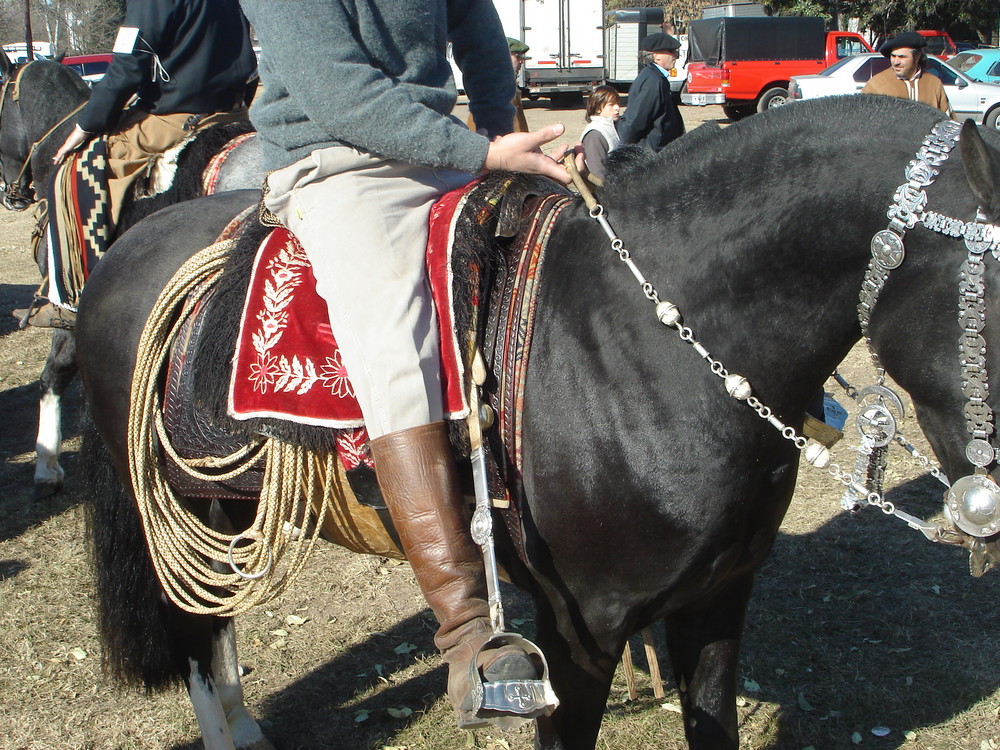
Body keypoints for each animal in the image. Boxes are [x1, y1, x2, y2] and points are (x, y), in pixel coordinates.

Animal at [72, 95, 1000, 750]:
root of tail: (127, 248)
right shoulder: (580, 631)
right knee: (195, 635)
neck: (639, 344)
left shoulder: (719, 601)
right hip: (174, 509)